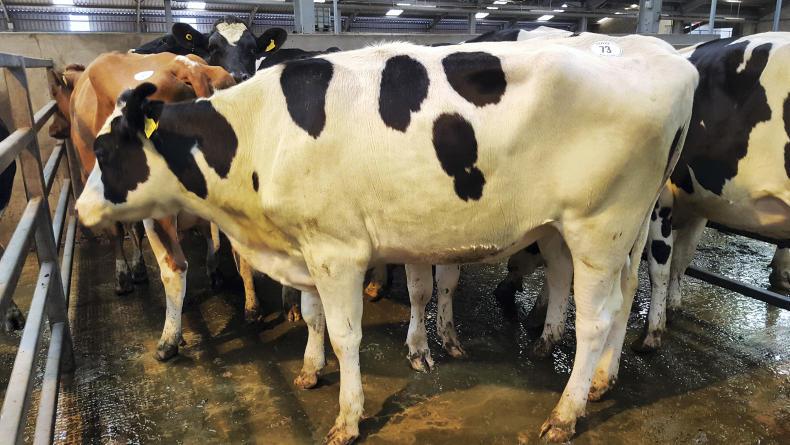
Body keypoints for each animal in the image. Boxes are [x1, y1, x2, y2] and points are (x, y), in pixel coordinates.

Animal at [74, 35, 697, 443]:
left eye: (104, 149)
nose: (80, 210)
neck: (261, 132)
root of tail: (665, 57)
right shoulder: (306, 244)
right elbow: (313, 315)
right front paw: (310, 369)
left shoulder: (337, 250)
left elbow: (347, 334)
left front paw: (348, 416)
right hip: (615, 229)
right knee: (621, 302)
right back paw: (601, 381)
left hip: (599, 225)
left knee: (596, 319)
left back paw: (566, 414)